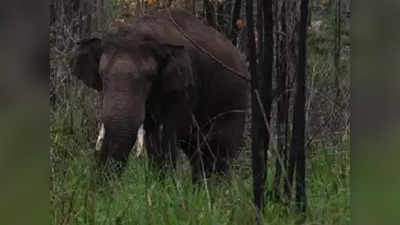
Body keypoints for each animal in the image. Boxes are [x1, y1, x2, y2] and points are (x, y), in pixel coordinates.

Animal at [70, 7, 248, 182]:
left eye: (149, 77)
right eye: (103, 76)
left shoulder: (184, 88)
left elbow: (167, 134)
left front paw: (164, 185)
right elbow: (153, 137)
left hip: (235, 103)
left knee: (219, 150)